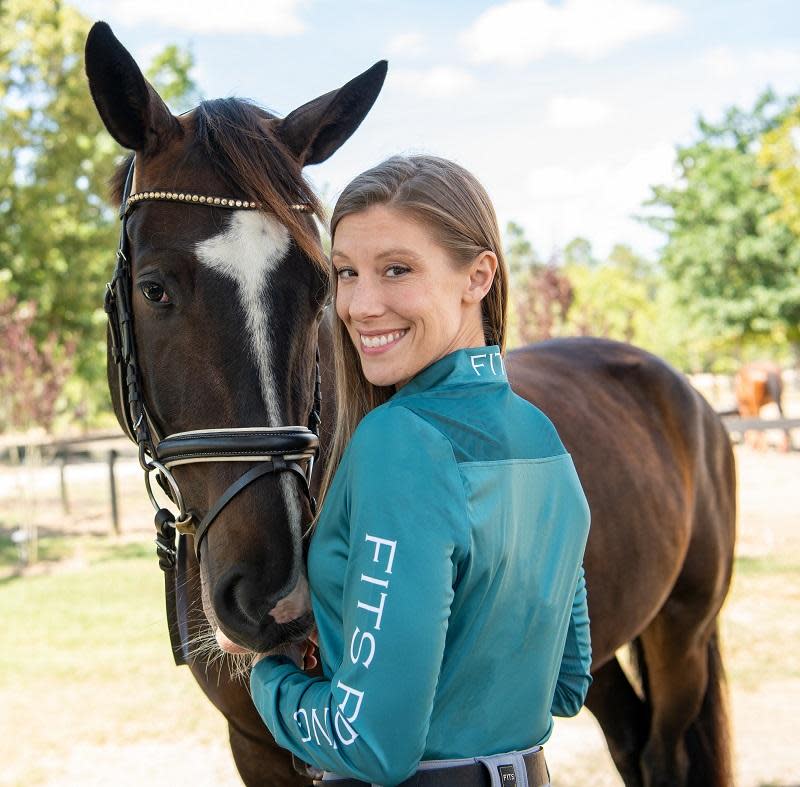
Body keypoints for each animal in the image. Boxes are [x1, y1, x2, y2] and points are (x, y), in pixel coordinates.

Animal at [84, 23, 736, 787]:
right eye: (154, 288)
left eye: (320, 286)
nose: (277, 595)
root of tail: (683, 390)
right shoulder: (253, 746)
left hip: (682, 631)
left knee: (663, 749)